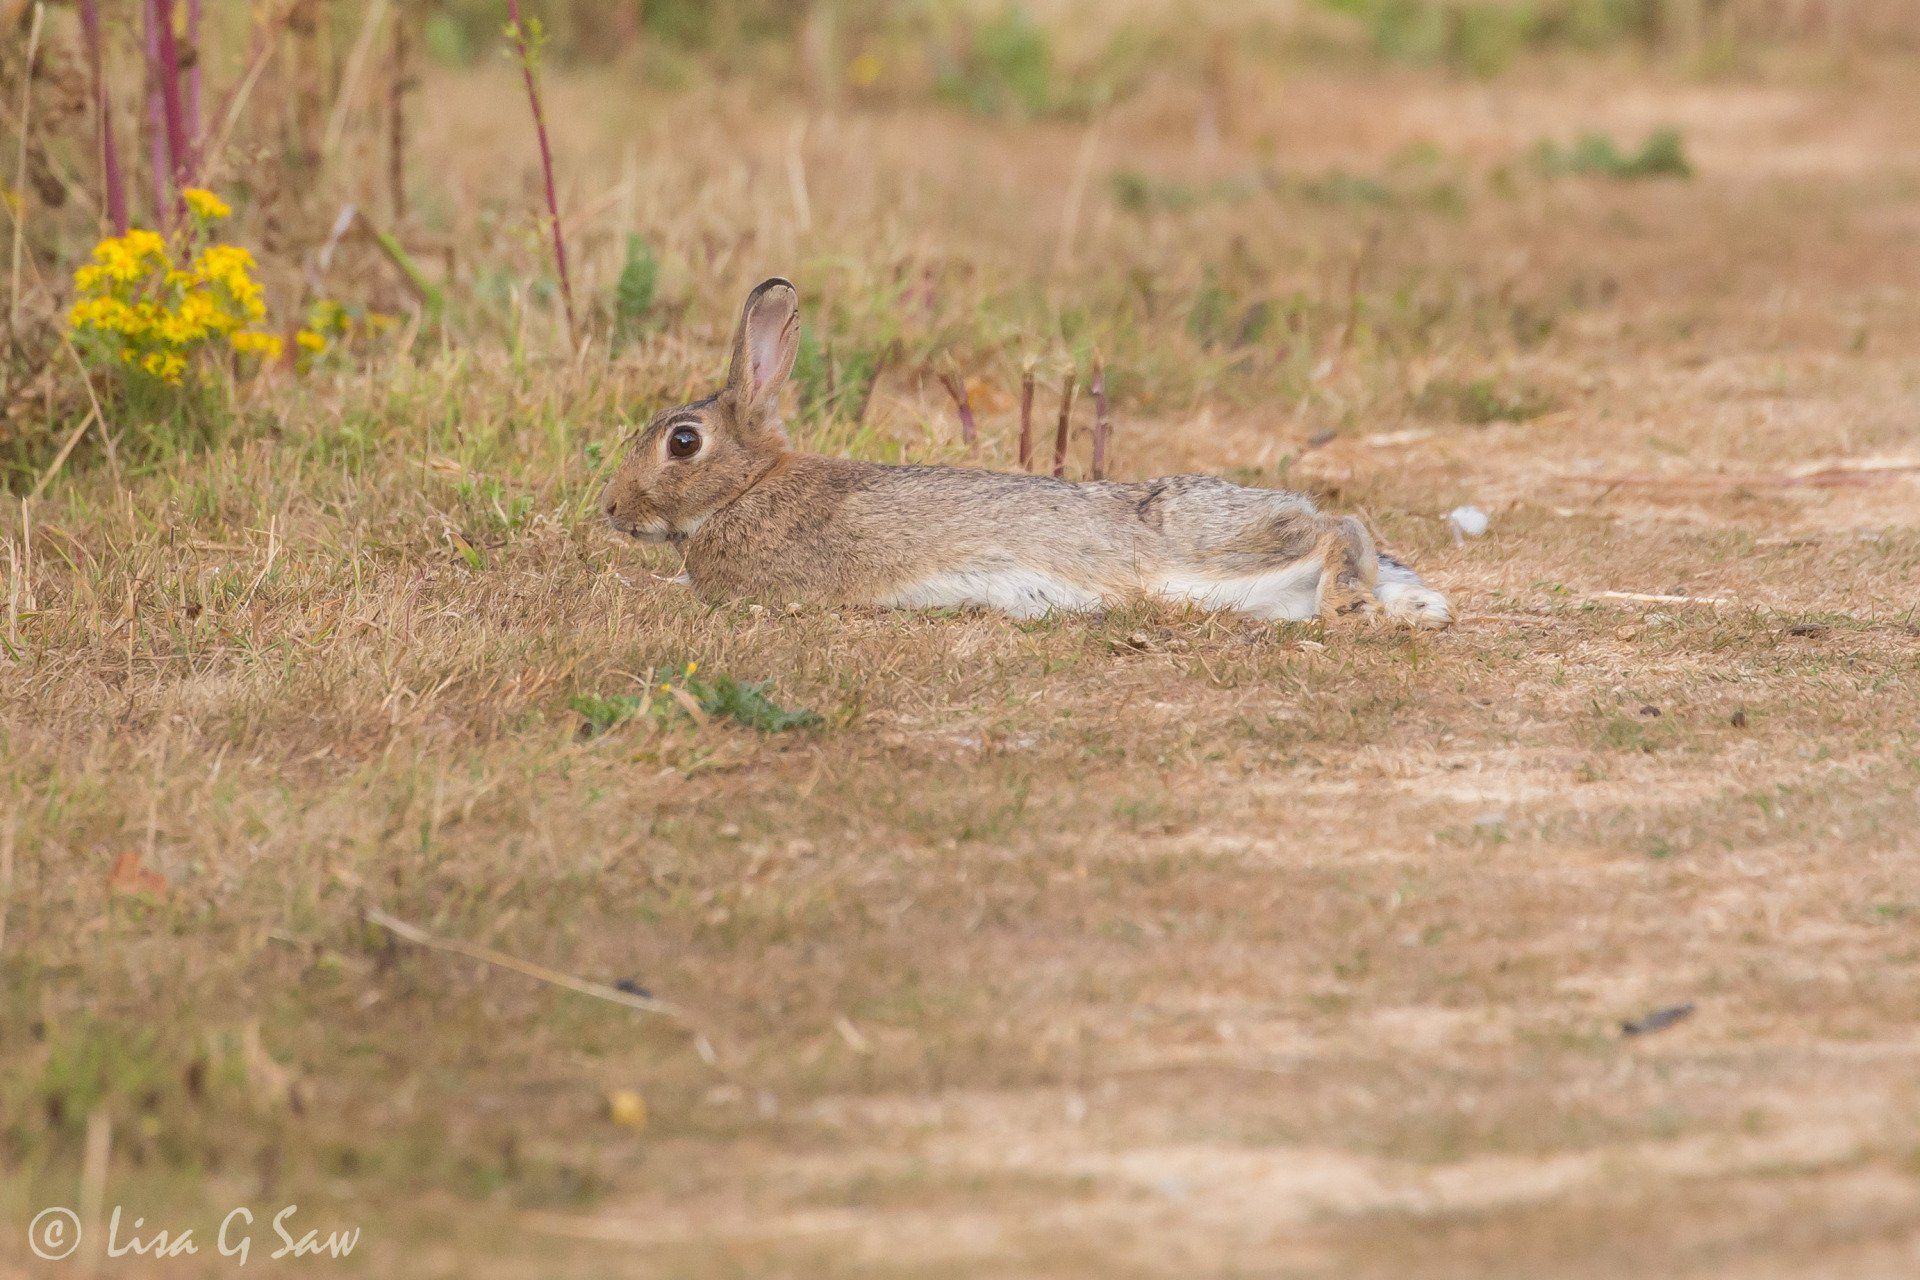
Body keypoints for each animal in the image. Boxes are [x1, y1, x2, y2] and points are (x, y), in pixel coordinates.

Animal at [606, 278, 1443, 629]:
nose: (611, 510)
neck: (745, 487)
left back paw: (1351, 598)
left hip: (1216, 543)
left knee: (1337, 527)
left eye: (684, 442)